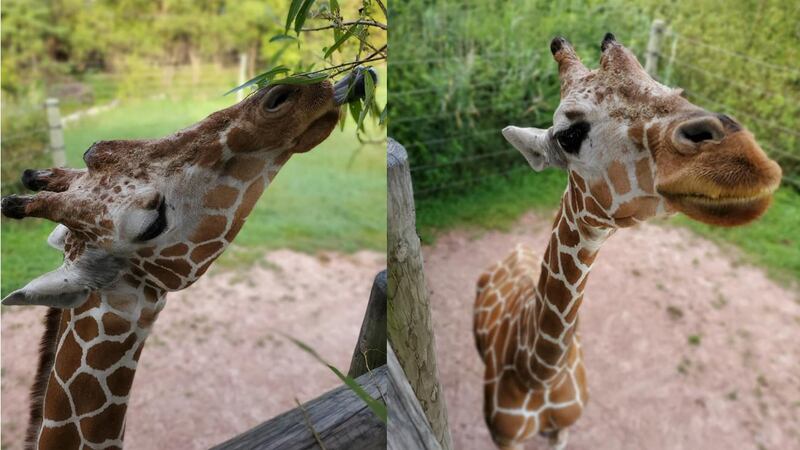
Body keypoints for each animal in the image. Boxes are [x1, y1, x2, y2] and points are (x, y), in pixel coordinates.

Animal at [473, 34, 782, 450]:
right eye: (569, 136)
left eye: (676, 91)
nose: (743, 160)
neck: (538, 374)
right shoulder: (504, 439)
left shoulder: (563, 430)